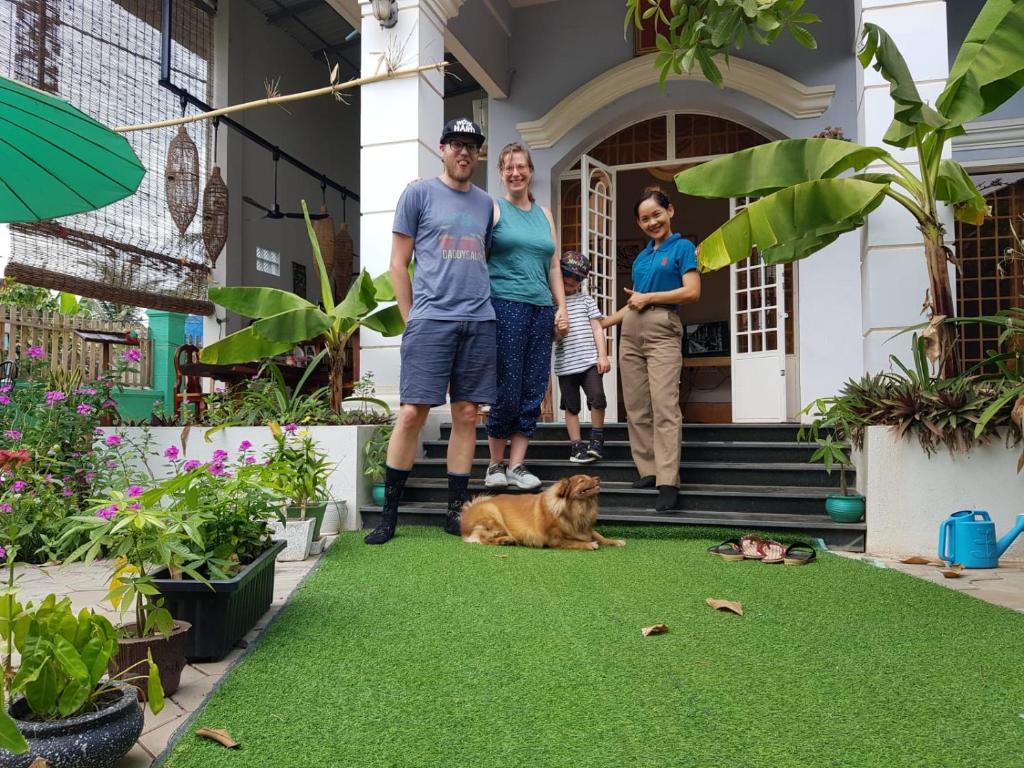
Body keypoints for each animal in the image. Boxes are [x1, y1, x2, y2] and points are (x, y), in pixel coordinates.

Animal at [462, 475, 622, 552]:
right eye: (582, 480)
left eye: (590, 476)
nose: (598, 478)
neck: (579, 509)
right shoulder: (554, 539)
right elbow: (573, 541)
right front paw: (588, 544)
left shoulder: (586, 528)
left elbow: (598, 535)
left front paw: (614, 541)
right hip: (493, 514)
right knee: (483, 539)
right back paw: (504, 540)